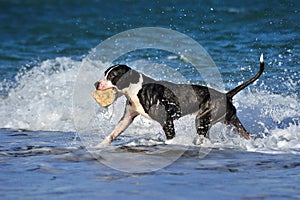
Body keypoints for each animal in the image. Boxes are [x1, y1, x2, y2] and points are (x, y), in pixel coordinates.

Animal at [95, 54, 264, 147]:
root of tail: (226, 95)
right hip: (231, 122)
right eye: (105, 73)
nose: (96, 84)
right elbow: (113, 133)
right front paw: (100, 145)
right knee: (247, 135)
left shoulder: (167, 121)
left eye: (112, 76)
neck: (136, 88)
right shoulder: (127, 118)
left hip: (201, 120)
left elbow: (170, 137)